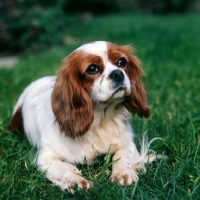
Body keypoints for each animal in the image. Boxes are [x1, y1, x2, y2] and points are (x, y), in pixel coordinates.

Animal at [8, 41, 161, 192]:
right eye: (92, 68)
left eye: (122, 62)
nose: (118, 73)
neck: (100, 120)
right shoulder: (46, 158)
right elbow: (67, 166)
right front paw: (76, 180)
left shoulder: (128, 144)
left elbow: (121, 155)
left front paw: (123, 173)